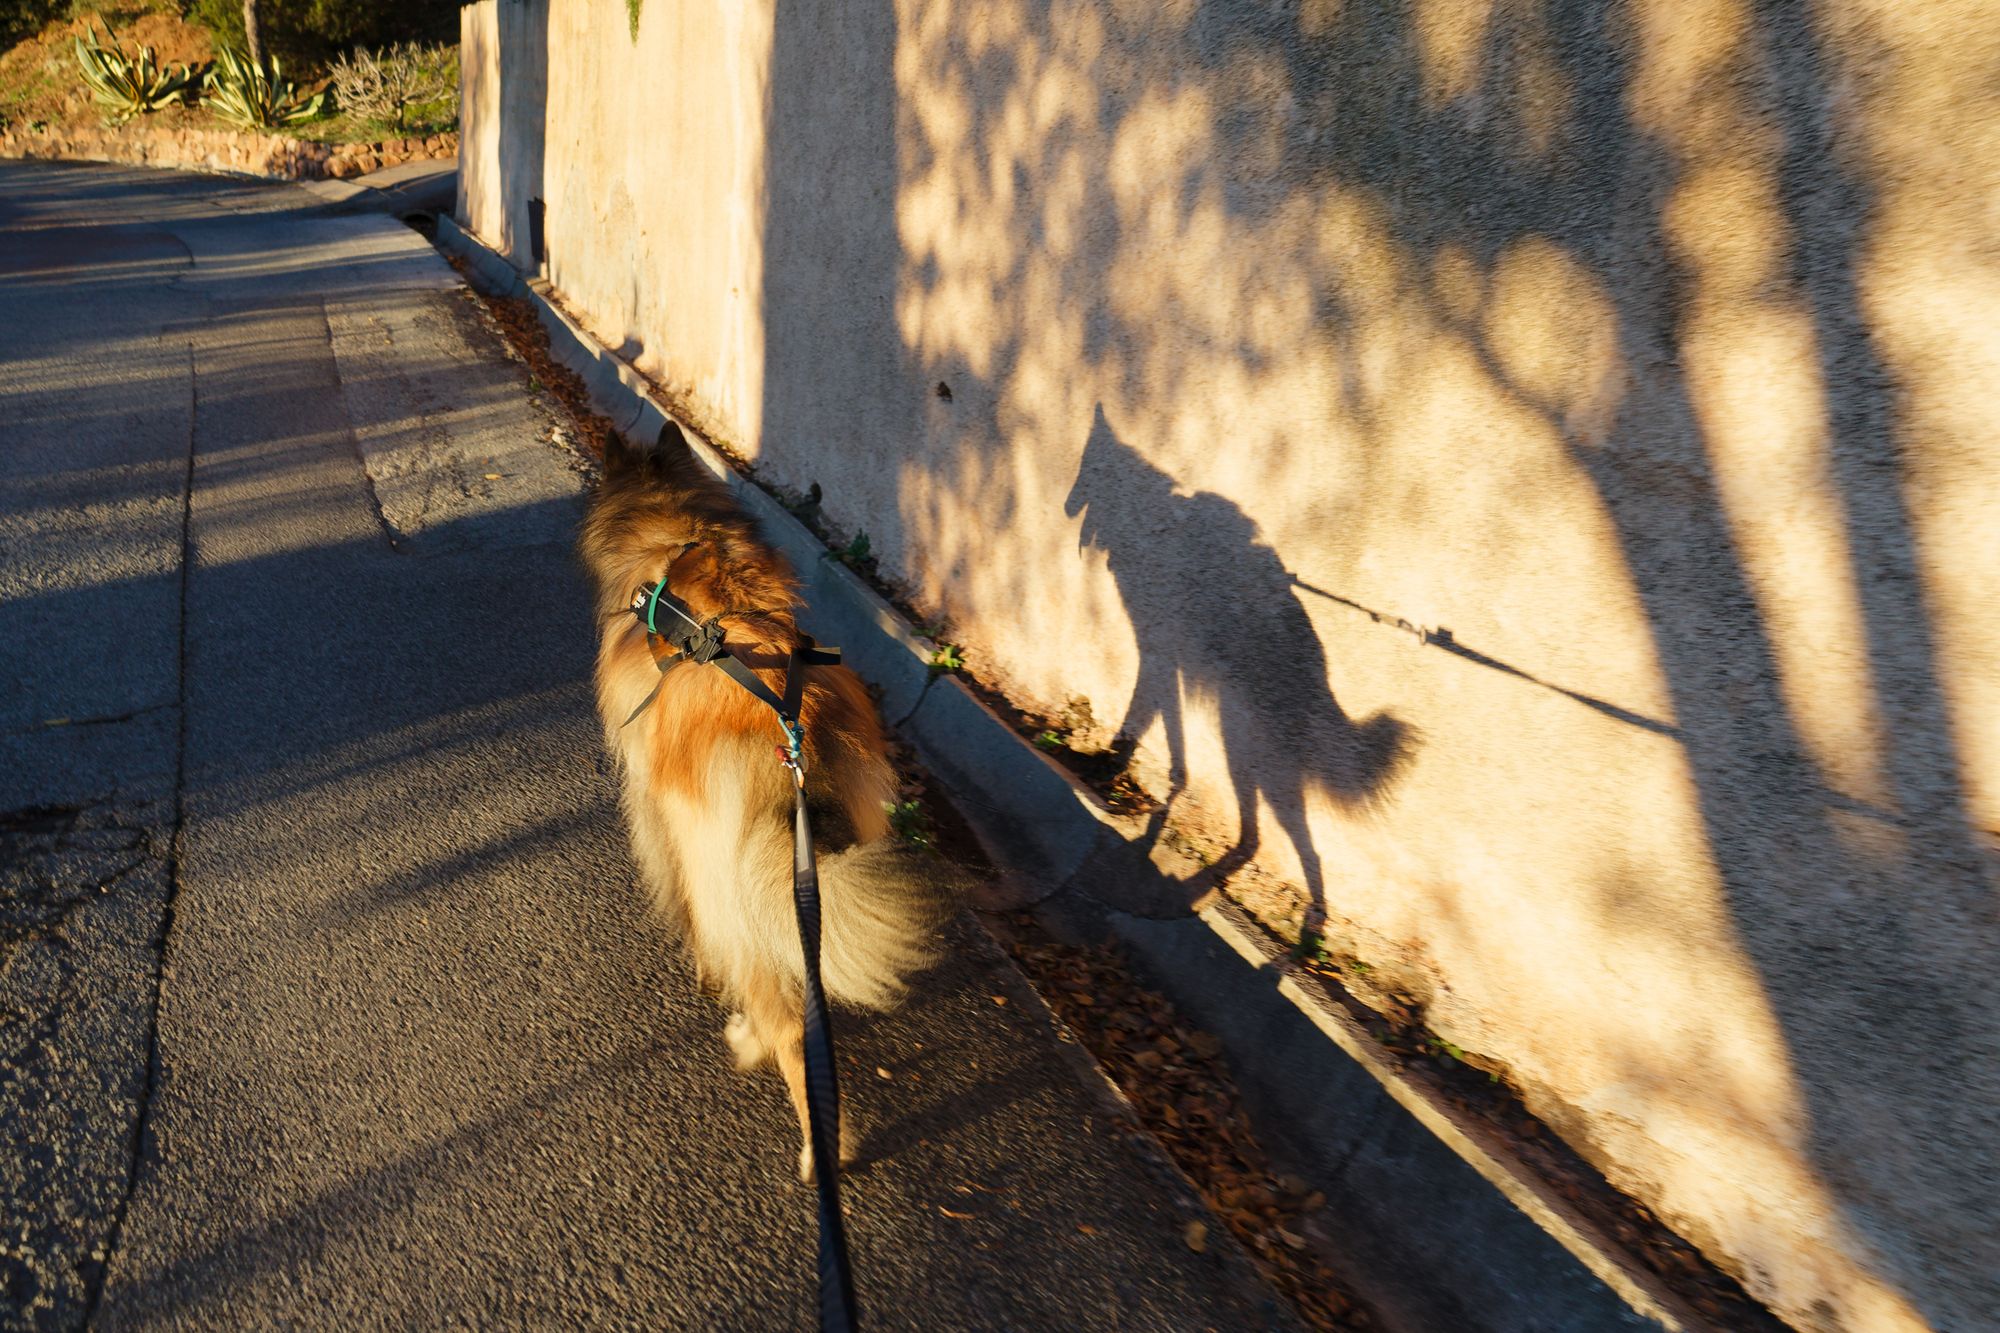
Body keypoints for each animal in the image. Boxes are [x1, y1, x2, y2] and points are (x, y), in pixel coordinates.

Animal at [581, 422, 945, 1179]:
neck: (679, 533)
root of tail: (792, 750)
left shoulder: (655, 807)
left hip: (729, 876)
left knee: (781, 1020)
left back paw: (808, 1125)